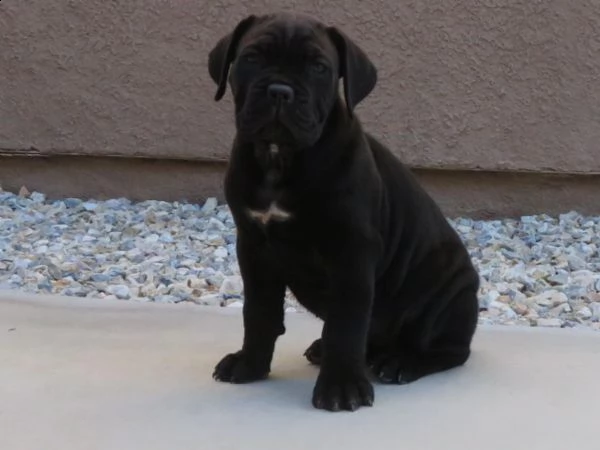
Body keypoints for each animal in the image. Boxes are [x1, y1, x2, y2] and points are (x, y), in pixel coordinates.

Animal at [209, 11, 480, 412]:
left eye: (319, 67)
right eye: (252, 58)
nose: (280, 91)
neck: (280, 158)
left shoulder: (351, 254)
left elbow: (347, 323)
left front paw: (341, 386)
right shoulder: (254, 247)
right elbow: (258, 312)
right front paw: (250, 364)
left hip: (449, 294)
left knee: (448, 349)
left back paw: (401, 361)